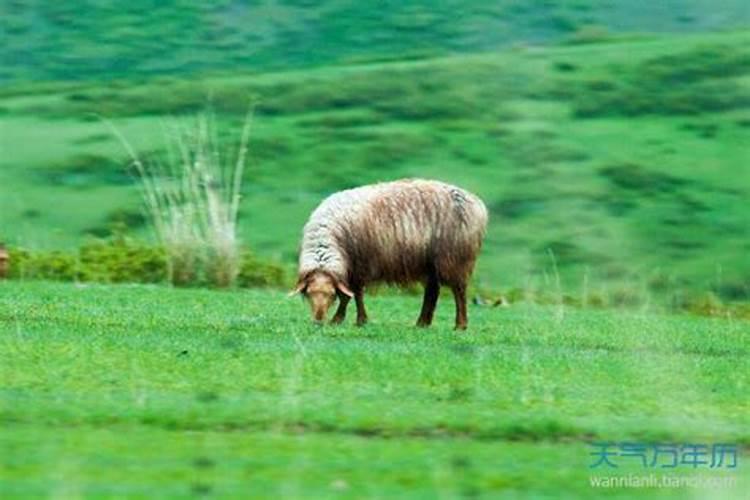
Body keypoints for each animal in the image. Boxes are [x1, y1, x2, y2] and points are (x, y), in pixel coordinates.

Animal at [290, 178, 490, 330]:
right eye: (309, 294)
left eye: (331, 295)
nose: (318, 321)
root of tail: (477, 203)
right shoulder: (351, 269)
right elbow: (352, 295)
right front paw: (348, 319)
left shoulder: (359, 265)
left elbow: (353, 295)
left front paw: (349, 320)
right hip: (431, 262)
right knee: (432, 291)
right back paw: (422, 323)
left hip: (454, 258)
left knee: (459, 291)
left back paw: (460, 325)